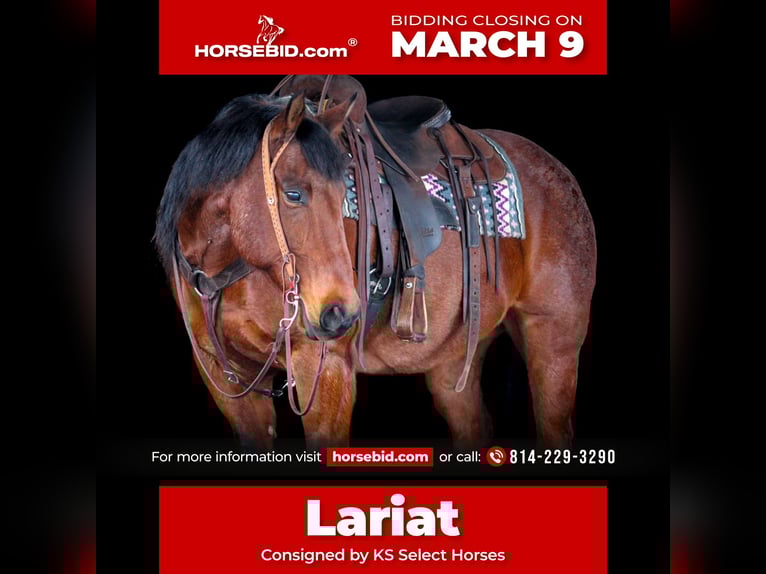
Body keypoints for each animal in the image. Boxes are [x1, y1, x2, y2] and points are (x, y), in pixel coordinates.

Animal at [154, 80, 596, 450]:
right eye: (293, 194)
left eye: (344, 193)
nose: (340, 313)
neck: (229, 270)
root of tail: (561, 174)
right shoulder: (229, 380)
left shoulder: (326, 369)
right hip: (454, 360)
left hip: (553, 345)